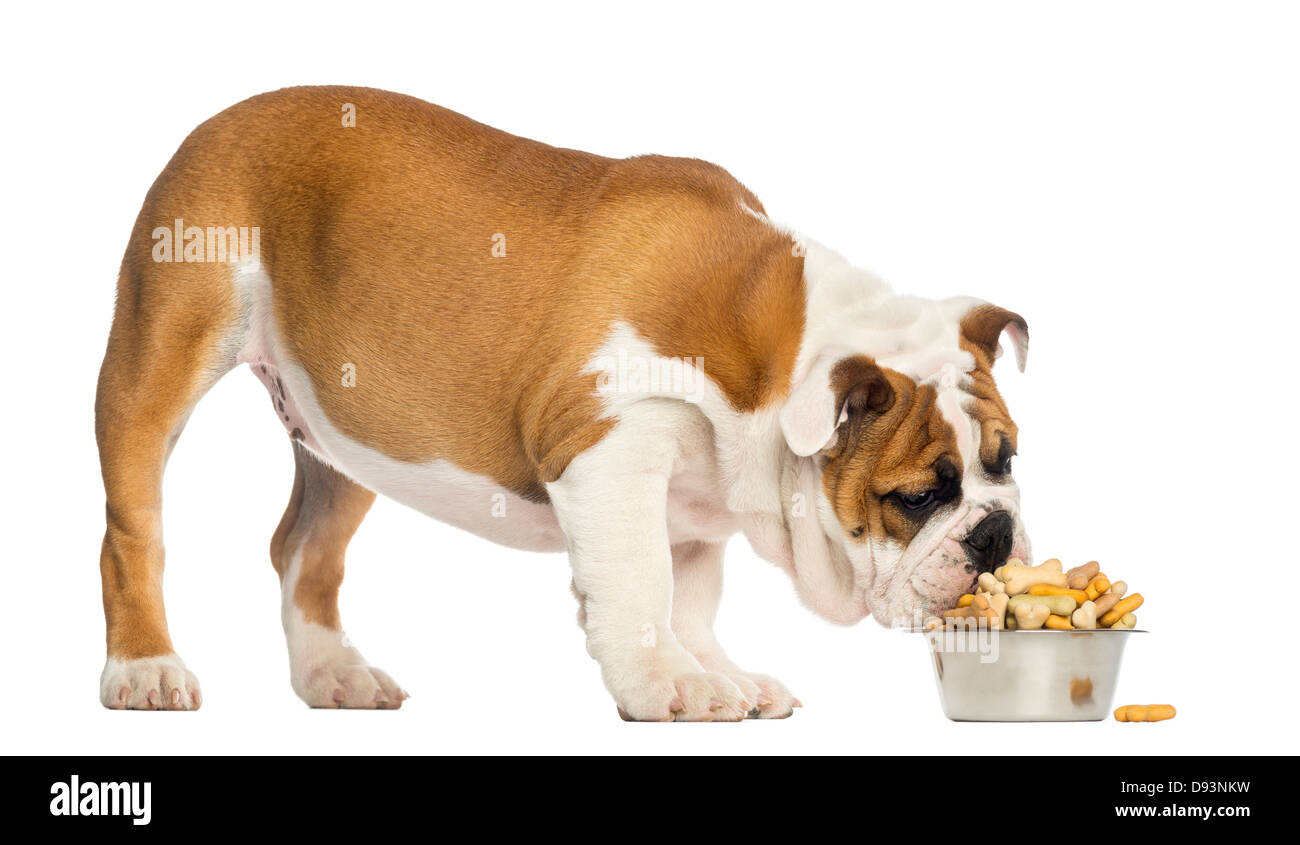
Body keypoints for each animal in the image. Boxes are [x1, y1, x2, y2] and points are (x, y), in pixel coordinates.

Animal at [96, 87, 1029, 717]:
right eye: (917, 496)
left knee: (304, 546)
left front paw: (717, 671)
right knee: (132, 532)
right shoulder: (612, 447)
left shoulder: (697, 502)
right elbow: (644, 582)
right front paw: (669, 685)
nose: (996, 532)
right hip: (162, 351)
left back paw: (334, 673)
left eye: (1007, 458)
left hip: (343, 429)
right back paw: (145, 668)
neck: (772, 355)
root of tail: (218, 117)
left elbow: (692, 593)